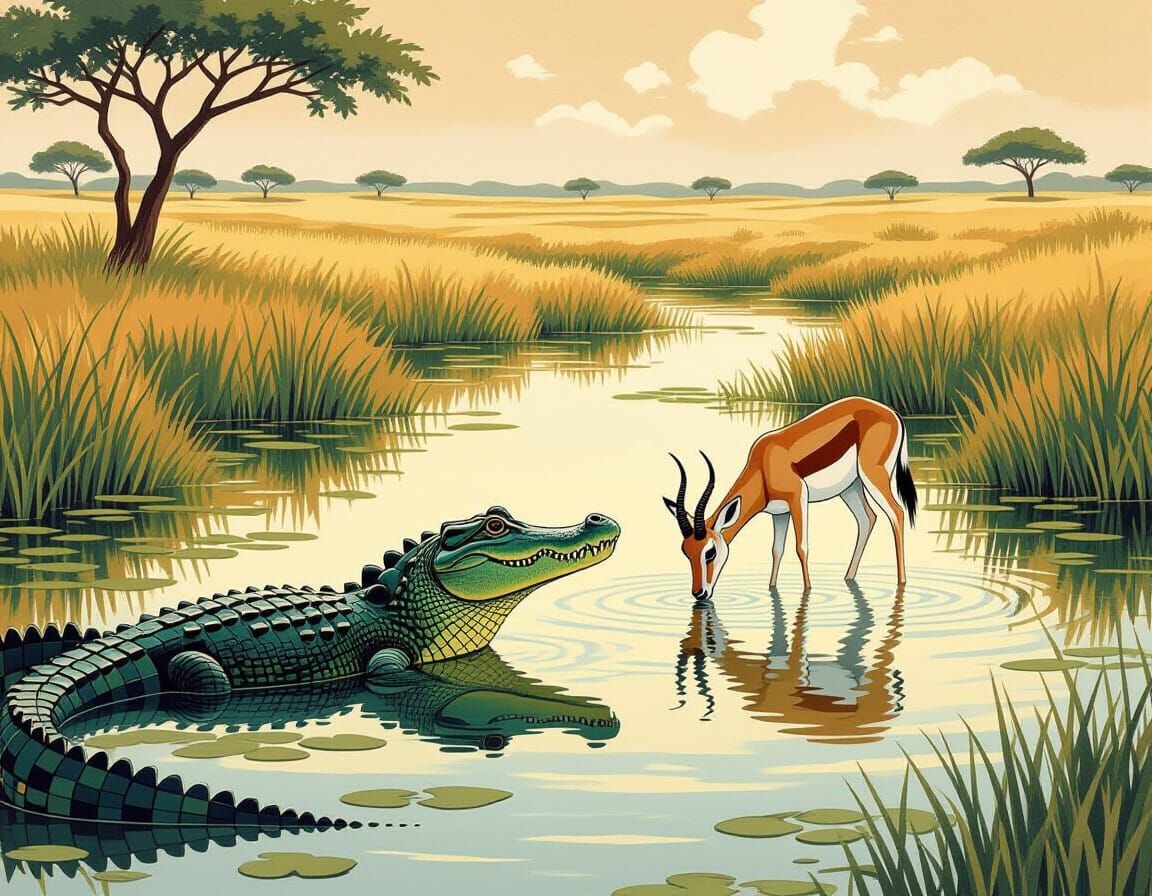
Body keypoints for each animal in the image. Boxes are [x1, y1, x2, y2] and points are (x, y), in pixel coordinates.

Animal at [664, 396, 917, 597]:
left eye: (710, 552)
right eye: (686, 552)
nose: (699, 593)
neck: (763, 467)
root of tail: (893, 413)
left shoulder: (798, 498)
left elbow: (801, 547)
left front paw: (807, 591)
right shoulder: (779, 513)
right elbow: (777, 550)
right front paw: (772, 588)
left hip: (873, 478)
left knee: (896, 513)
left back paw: (902, 582)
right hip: (851, 488)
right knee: (867, 519)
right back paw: (848, 577)